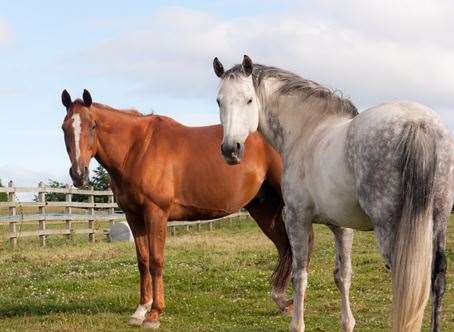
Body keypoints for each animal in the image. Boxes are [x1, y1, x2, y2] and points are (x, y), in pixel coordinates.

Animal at [58, 89, 310, 328]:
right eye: (64, 127)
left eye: (92, 126)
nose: (78, 174)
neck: (138, 148)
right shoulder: (134, 217)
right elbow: (143, 261)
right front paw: (140, 311)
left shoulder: (156, 213)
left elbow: (156, 261)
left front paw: (154, 314)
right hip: (264, 210)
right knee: (285, 247)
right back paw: (283, 301)